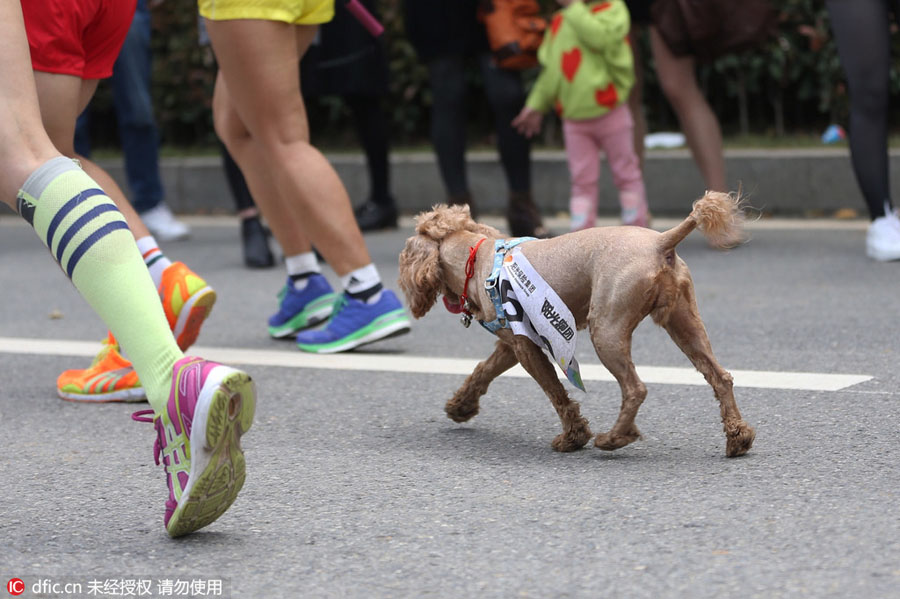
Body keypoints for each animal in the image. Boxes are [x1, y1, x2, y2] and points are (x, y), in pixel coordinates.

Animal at [398, 192, 756, 460]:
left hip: (607, 327)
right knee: (719, 377)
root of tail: (661, 243)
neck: (478, 258)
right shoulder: (512, 343)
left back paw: (614, 438)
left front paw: (574, 437)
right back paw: (738, 437)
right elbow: (482, 371)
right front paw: (460, 406)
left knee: (635, 388)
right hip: (684, 323)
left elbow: (556, 392)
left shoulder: (527, 348)